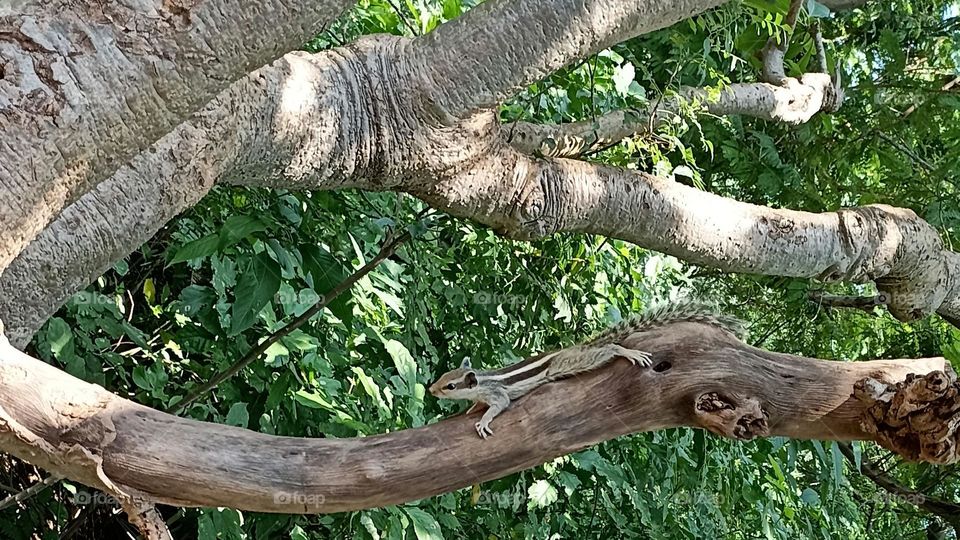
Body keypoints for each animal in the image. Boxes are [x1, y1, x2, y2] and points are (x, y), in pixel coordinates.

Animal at [429, 299, 744, 439]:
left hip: (569, 363)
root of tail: (569, 349)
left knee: (609, 350)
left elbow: (499, 406)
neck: (482, 381)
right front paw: (470, 410)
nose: (431, 390)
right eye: (444, 378)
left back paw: (626, 351)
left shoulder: (498, 394)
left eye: (450, 386)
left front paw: (482, 421)